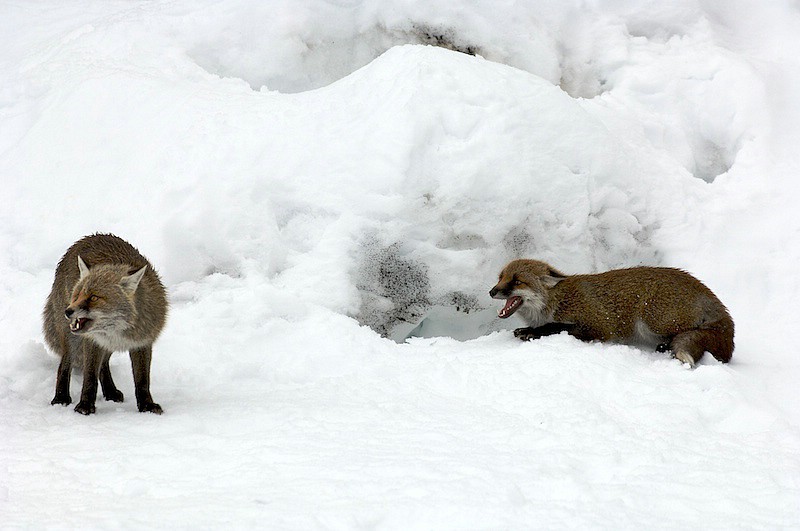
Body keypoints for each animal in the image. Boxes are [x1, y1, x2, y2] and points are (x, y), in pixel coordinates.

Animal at [43, 234, 167, 416]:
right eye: (77, 295)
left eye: (94, 297)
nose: (68, 311)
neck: (117, 331)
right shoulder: (92, 340)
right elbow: (89, 377)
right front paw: (85, 406)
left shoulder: (142, 342)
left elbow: (142, 380)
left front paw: (147, 406)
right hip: (72, 339)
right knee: (65, 364)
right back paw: (61, 397)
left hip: (106, 347)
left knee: (103, 365)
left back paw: (110, 391)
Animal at [488, 260, 732, 368]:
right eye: (500, 277)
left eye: (517, 281)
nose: (492, 291)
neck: (557, 301)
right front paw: (528, 330)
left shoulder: (599, 325)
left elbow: (557, 327)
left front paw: (531, 332)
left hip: (652, 320)